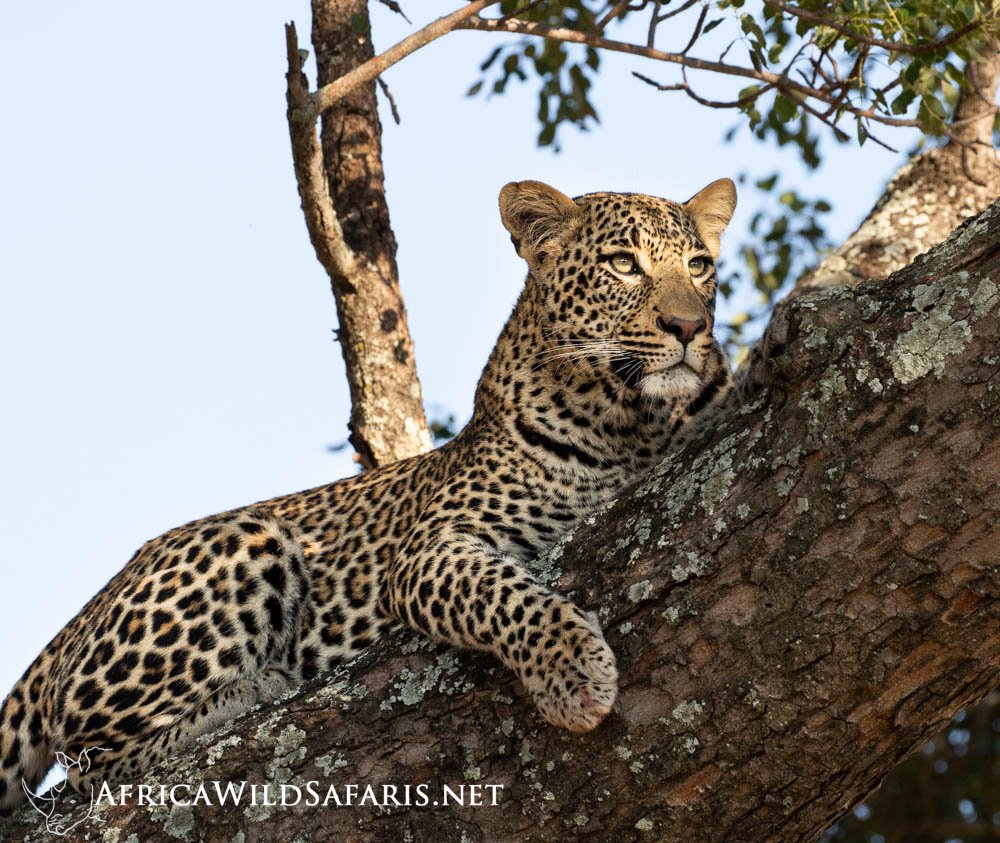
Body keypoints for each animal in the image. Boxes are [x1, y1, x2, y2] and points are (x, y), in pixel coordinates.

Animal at [0, 176, 736, 812]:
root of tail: (88, 607)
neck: (630, 420)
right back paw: (254, 687)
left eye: (699, 265)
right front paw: (571, 672)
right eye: (624, 264)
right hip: (244, 539)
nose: (689, 327)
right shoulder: (428, 550)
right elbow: (505, 594)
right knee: (90, 758)